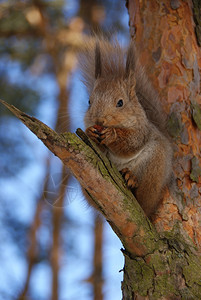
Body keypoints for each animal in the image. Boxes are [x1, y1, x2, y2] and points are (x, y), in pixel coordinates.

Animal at [77, 37, 172, 216]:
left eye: (120, 103)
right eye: (89, 101)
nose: (99, 121)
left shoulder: (142, 129)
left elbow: (132, 143)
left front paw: (112, 135)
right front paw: (90, 132)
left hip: (154, 167)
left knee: (144, 201)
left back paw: (131, 179)